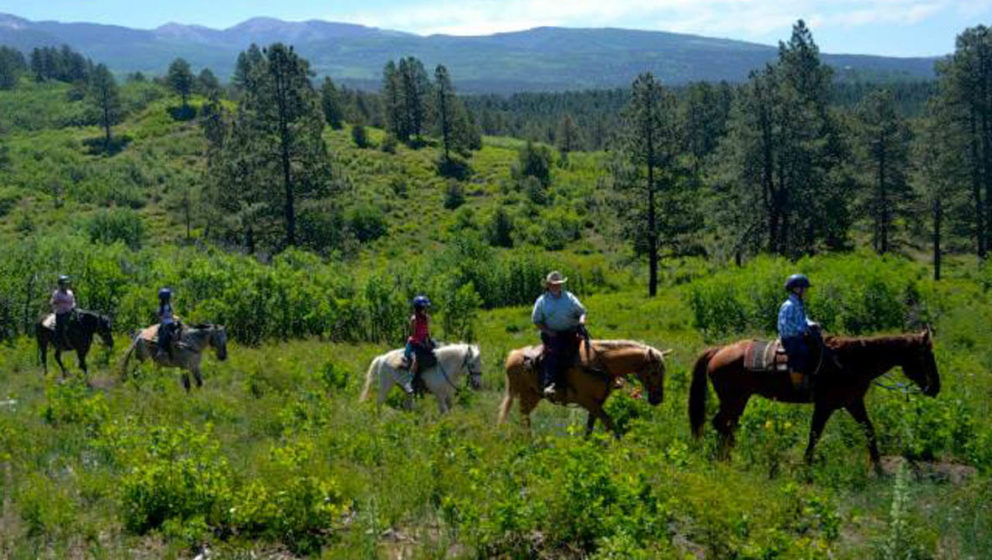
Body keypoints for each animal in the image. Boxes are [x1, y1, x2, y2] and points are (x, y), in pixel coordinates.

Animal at [500, 340, 672, 440]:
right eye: (654, 372)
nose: (658, 399)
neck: (598, 364)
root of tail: (512, 355)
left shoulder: (597, 402)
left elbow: (591, 425)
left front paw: (587, 445)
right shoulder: (587, 400)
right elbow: (609, 422)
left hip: (534, 396)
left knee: (525, 416)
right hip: (526, 395)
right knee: (524, 417)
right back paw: (529, 442)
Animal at [688, 328, 936, 472]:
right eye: (926, 356)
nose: (936, 387)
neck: (848, 362)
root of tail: (718, 350)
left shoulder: (853, 402)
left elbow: (869, 430)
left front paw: (877, 465)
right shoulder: (825, 405)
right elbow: (815, 433)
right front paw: (807, 465)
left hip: (738, 401)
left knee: (727, 425)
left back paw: (728, 456)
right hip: (734, 399)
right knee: (722, 424)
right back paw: (725, 458)